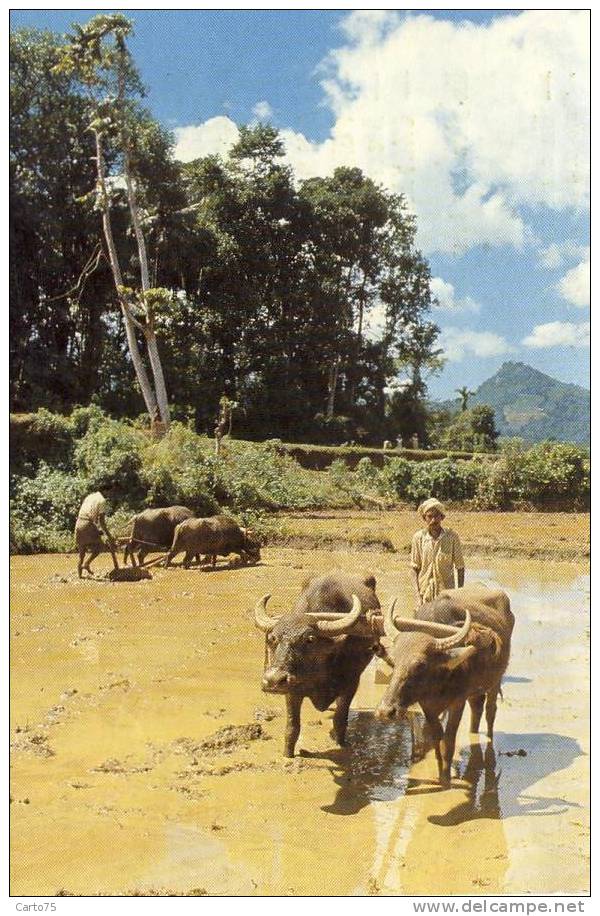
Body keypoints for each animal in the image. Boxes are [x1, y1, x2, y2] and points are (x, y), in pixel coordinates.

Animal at [252, 572, 384, 760]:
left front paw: (341, 745)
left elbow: (340, 720)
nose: (273, 680)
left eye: (310, 639)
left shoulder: (351, 684)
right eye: (273, 638)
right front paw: (287, 755)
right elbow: (292, 727)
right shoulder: (292, 690)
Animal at [378, 584, 512, 784]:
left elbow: (448, 741)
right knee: (477, 708)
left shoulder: (458, 702)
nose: (385, 711)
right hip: (476, 690)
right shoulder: (428, 706)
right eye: (394, 661)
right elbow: (436, 739)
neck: (438, 681)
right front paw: (440, 771)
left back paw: (489, 741)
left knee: (490, 711)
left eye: (420, 664)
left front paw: (446, 778)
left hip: (495, 680)